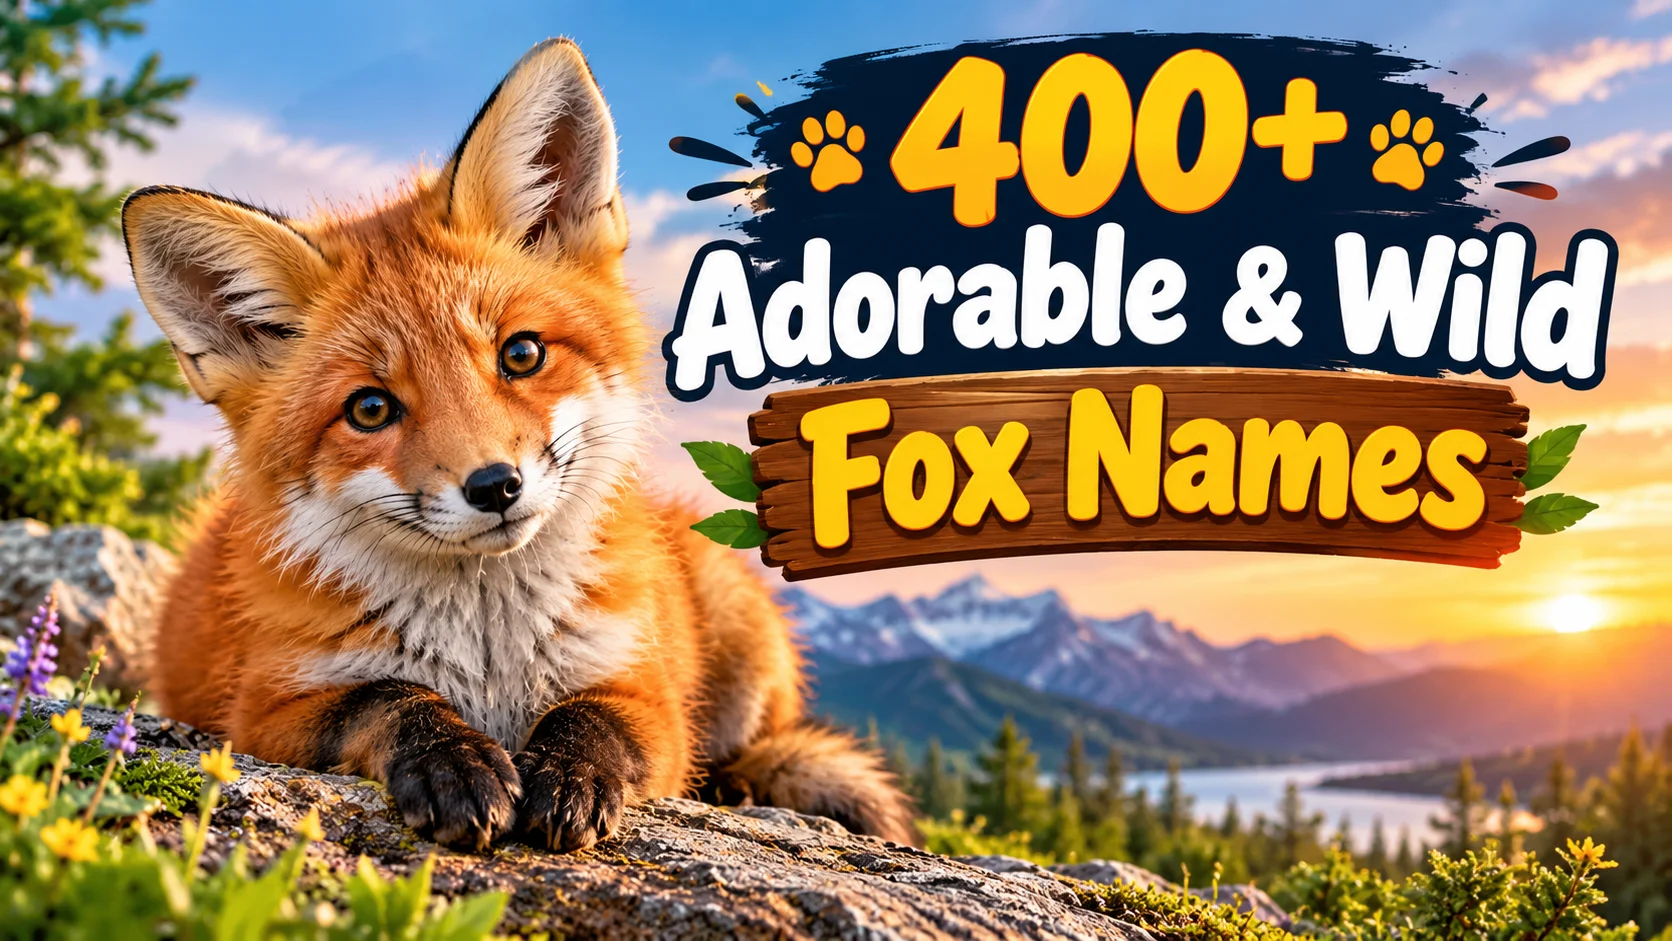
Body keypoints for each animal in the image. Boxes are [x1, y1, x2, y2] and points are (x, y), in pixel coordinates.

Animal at [119, 38, 914, 853]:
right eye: (369, 409)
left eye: (522, 354)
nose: (494, 485)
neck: (488, 653)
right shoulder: (265, 712)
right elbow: (389, 695)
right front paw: (451, 760)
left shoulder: (649, 698)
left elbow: (590, 717)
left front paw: (568, 774)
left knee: (754, 752)